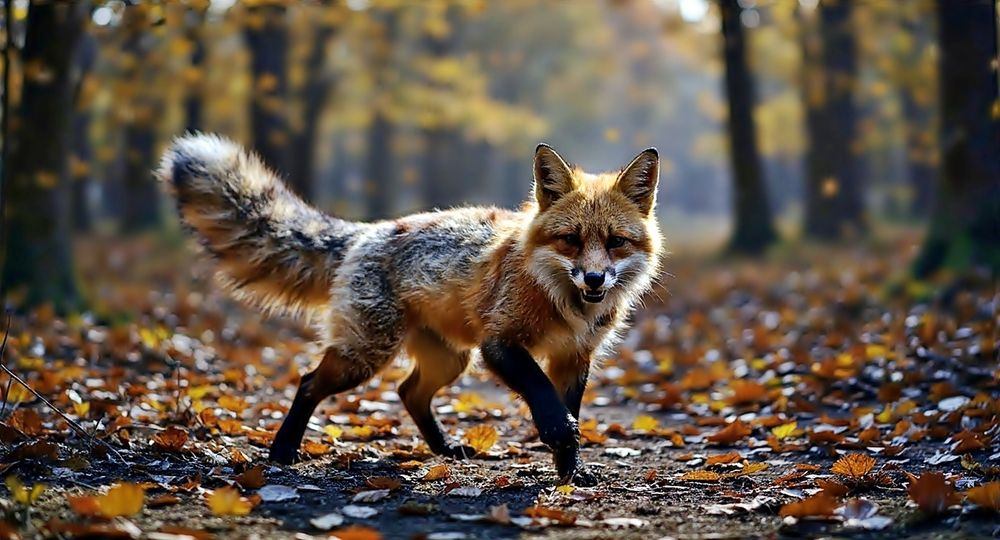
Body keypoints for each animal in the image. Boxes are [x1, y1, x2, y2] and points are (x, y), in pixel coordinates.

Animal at [158, 133, 662, 485]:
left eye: (616, 242)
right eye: (570, 240)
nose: (594, 279)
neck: (563, 303)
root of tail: (366, 231)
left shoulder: (574, 357)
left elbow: (564, 406)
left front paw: (570, 473)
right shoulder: (499, 344)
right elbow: (545, 398)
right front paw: (560, 435)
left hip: (449, 360)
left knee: (408, 392)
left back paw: (445, 449)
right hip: (368, 354)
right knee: (309, 382)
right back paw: (283, 451)